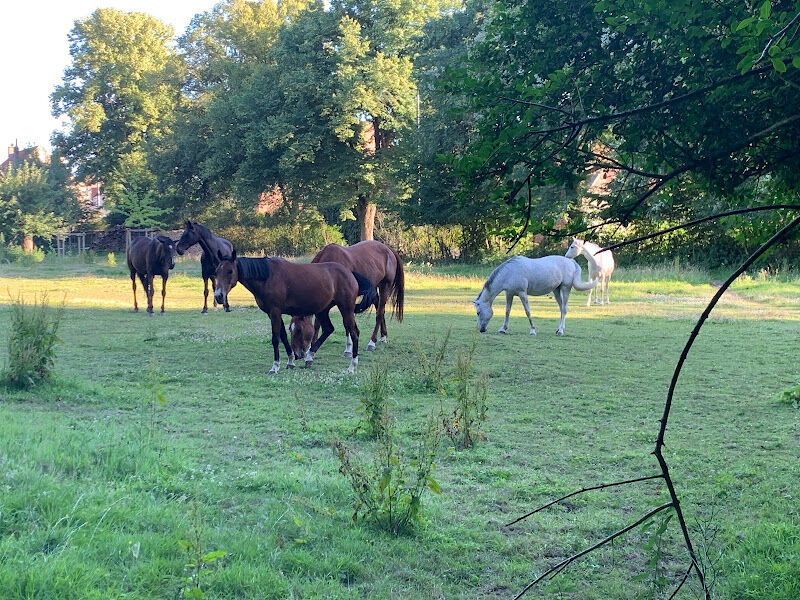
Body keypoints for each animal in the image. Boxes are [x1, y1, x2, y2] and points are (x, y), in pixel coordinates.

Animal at [214, 250, 380, 376]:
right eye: (216, 272)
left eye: (230, 271)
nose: (219, 296)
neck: (268, 277)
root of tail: (350, 273)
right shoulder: (274, 313)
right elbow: (283, 336)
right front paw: (290, 361)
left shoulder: (275, 312)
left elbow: (275, 339)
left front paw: (274, 367)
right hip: (323, 310)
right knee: (328, 329)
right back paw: (309, 357)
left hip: (346, 309)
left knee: (354, 333)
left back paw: (352, 366)